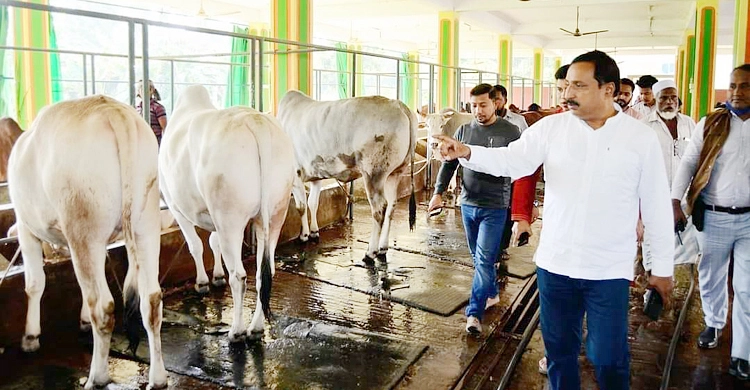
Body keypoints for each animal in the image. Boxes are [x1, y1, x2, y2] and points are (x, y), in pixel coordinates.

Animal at [7, 95, 166, 390]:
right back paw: (158, 378)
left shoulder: (25, 227)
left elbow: (34, 284)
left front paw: (31, 337)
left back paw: (96, 376)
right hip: (146, 226)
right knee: (151, 301)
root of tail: (113, 111)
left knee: (103, 307)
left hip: (83, 228)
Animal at [160, 86, 298, 342]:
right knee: (264, 272)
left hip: (229, 216)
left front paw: (202, 282)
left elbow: (195, 245)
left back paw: (237, 331)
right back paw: (256, 328)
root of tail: (255, 121)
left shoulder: (176, 206)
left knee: (240, 276)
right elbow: (212, 242)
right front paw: (216, 276)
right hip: (276, 212)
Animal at [278, 90, 418, 264]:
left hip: (373, 173)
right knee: (392, 205)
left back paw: (370, 252)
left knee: (379, 208)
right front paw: (314, 232)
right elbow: (313, 203)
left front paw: (303, 236)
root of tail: (399, 105)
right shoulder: (315, 174)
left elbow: (301, 206)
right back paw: (383, 248)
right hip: (395, 173)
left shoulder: (295, 174)